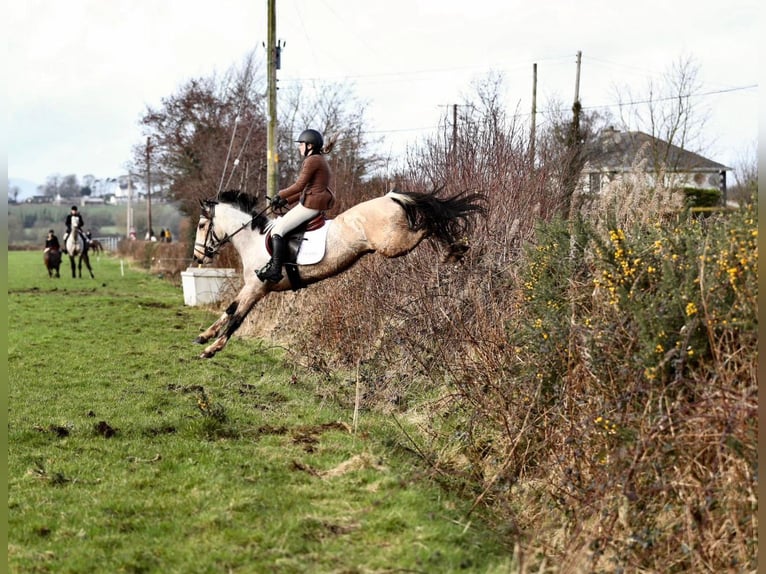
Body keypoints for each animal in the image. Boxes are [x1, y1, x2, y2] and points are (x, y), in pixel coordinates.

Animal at [191, 190, 486, 360]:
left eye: (203, 224)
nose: (198, 258)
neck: (253, 240)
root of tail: (392, 196)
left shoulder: (257, 288)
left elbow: (237, 318)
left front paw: (211, 349)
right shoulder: (250, 287)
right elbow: (230, 309)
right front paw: (204, 336)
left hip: (392, 244)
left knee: (428, 226)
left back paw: (455, 249)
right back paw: (456, 250)